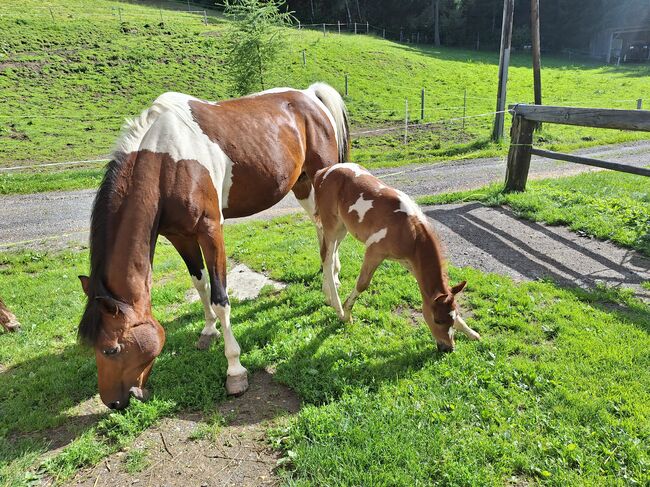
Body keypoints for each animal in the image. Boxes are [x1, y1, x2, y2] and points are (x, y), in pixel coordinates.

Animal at [78, 83, 346, 408]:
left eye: (111, 349)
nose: (112, 403)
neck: (167, 162)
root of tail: (310, 95)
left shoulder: (210, 231)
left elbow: (220, 298)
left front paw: (235, 370)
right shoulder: (180, 236)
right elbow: (200, 283)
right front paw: (208, 330)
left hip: (322, 177)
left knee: (330, 233)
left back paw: (332, 283)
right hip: (303, 184)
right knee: (320, 228)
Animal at [312, 164, 478, 350]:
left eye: (453, 318)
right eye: (437, 320)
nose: (448, 348)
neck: (409, 231)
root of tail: (323, 172)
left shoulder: (411, 263)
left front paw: (472, 333)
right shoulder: (374, 251)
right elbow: (362, 284)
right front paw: (346, 314)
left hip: (342, 228)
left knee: (330, 256)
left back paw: (328, 296)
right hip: (331, 226)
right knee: (327, 258)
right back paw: (338, 307)